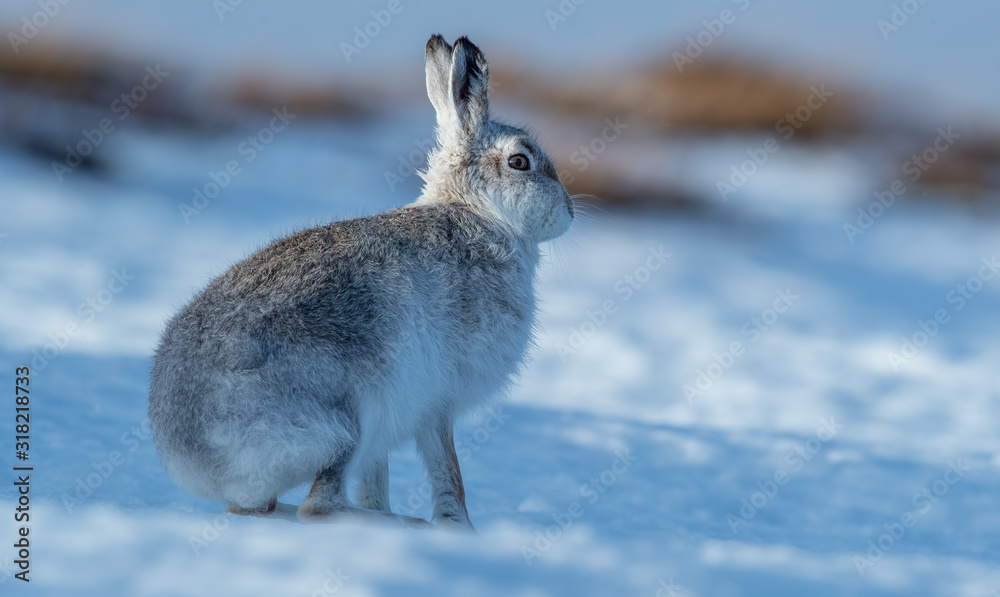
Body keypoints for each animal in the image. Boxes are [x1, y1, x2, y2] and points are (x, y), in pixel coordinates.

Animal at [148, 34, 575, 529]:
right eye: (520, 161)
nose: (569, 211)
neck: (478, 214)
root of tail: (195, 452)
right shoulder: (437, 403)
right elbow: (449, 472)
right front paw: (460, 530)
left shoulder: (396, 423)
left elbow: (377, 479)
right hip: (348, 420)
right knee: (319, 506)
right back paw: (405, 524)